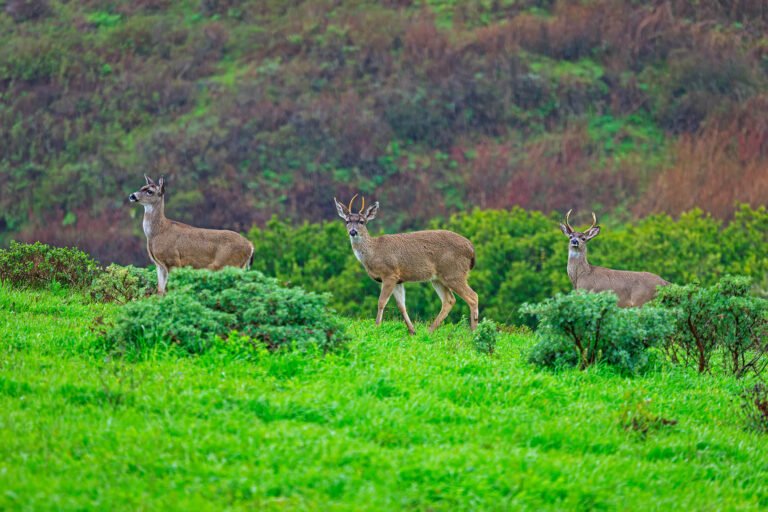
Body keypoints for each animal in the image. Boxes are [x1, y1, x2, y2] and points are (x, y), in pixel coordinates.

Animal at [334, 195, 479, 334]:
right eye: (347, 221)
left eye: (362, 222)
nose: (353, 232)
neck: (374, 252)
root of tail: (471, 249)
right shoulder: (399, 279)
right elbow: (401, 305)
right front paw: (412, 330)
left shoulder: (389, 273)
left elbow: (381, 302)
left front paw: (376, 327)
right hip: (438, 278)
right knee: (449, 300)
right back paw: (430, 331)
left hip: (454, 272)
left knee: (473, 297)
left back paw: (473, 332)